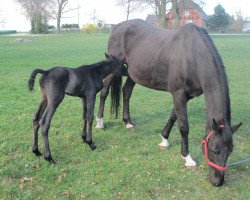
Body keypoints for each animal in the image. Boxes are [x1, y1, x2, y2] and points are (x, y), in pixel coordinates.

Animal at [96, 19, 241, 186]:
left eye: (230, 150)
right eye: (214, 149)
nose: (217, 181)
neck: (192, 55)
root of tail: (117, 27)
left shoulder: (186, 95)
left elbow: (173, 116)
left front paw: (164, 139)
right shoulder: (178, 92)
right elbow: (184, 126)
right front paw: (187, 157)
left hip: (134, 73)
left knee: (126, 92)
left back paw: (128, 122)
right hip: (113, 68)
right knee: (104, 92)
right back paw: (99, 122)